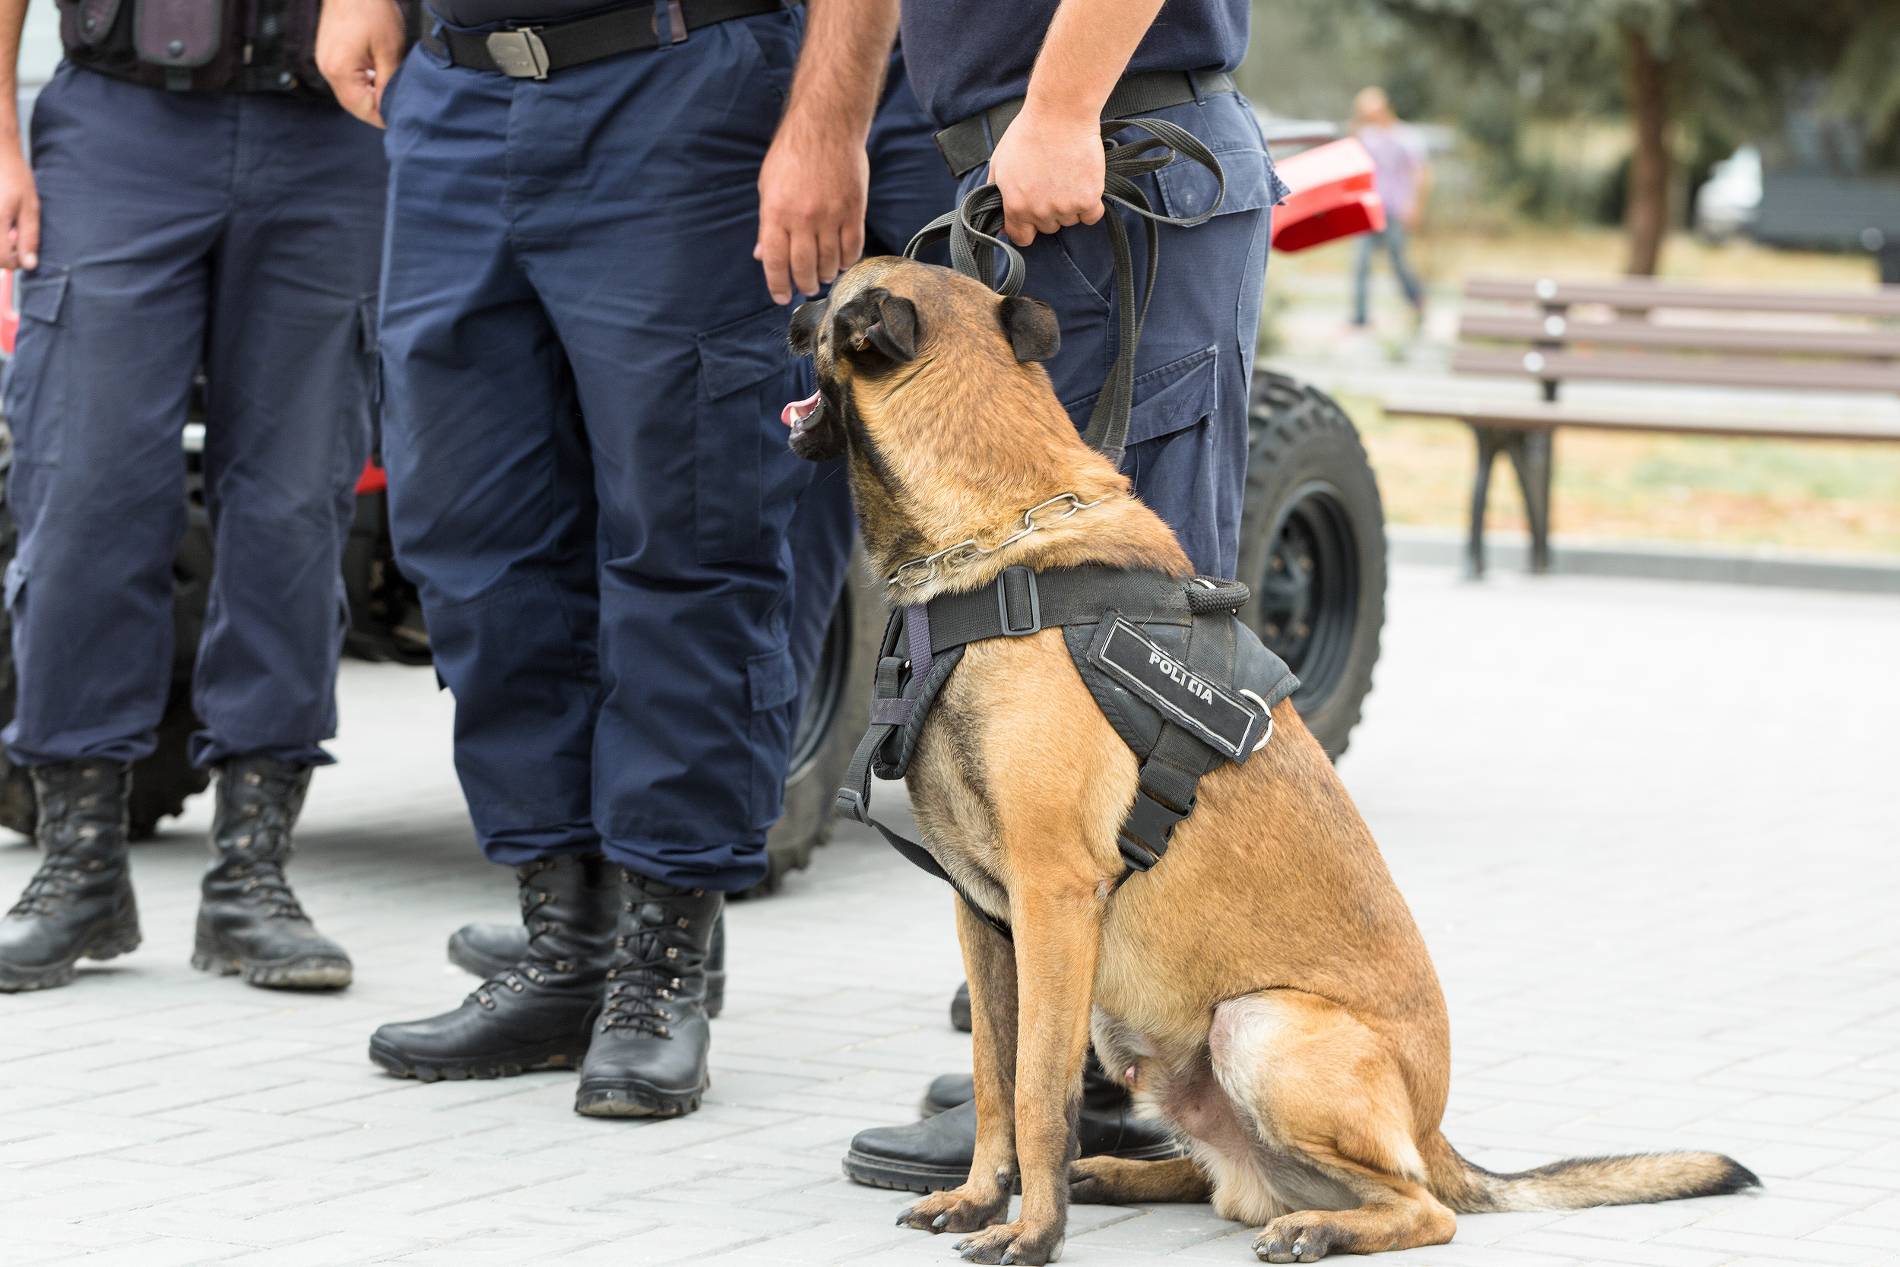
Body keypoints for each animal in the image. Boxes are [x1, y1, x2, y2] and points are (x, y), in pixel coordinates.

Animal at [782, 254, 1748, 1261]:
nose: (786, 305)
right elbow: (993, 1076)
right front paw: (979, 1195)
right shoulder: (985, 915)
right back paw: (1122, 1173)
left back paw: (1311, 1223)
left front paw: (1033, 1230)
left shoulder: (1053, 901)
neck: (1004, 537)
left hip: (1257, 1025)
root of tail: (1435, 1128)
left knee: (1418, 1207)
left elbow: (1040, 1091)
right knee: (1222, 1179)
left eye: (828, 296)